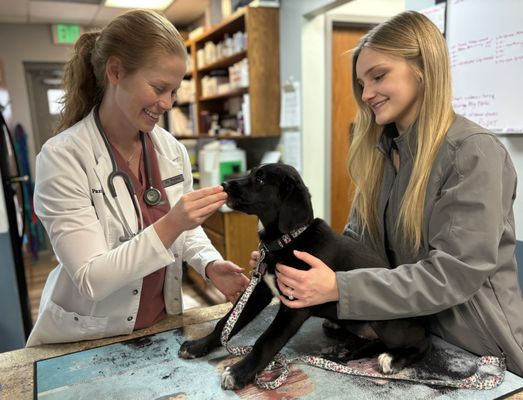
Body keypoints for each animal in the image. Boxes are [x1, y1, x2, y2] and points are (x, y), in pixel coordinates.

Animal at [178, 163, 432, 390]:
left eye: (260, 179)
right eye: (251, 172)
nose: (224, 185)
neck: (287, 241)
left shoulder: (295, 305)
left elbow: (266, 341)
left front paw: (240, 372)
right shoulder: (259, 290)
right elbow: (227, 322)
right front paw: (199, 345)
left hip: (384, 317)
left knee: (422, 342)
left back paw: (393, 358)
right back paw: (343, 346)